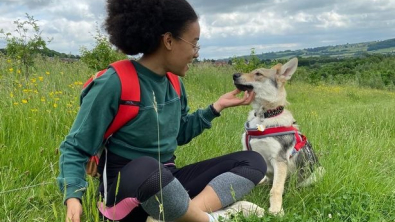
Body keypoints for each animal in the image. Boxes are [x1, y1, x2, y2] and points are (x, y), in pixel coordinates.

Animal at [232, 57, 324, 215]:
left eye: (258, 74)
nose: (234, 75)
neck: (264, 116)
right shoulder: (249, 152)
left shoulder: (279, 160)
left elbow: (276, 189)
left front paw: (276, 210)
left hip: (318, 171)